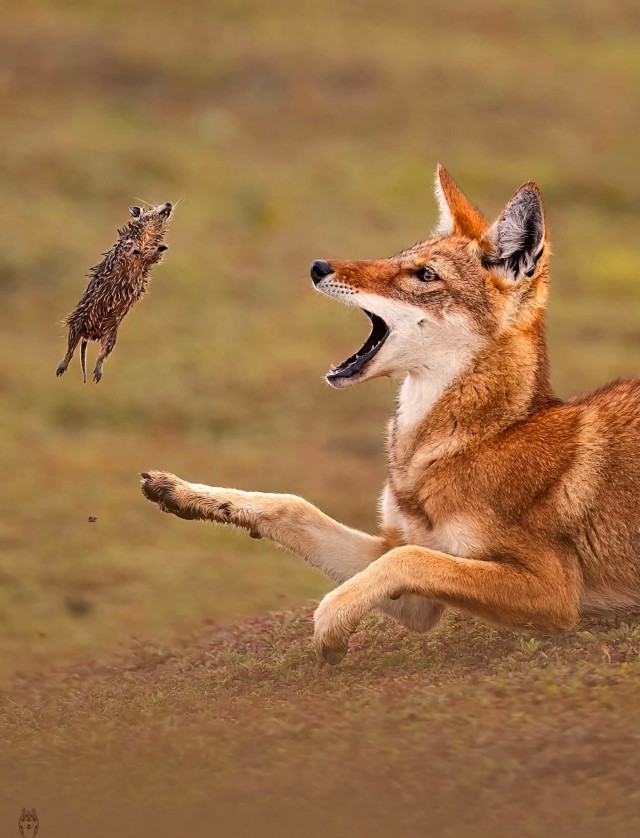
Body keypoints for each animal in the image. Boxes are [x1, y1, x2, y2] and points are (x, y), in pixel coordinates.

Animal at [141, 165, 640, 663]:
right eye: (397, 257)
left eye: (424, 275)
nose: (318, 266)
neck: (466, 441)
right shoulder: (415, 592)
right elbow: (294, 506)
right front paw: (181, 492)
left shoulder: (553, 593)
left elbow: (404, 559)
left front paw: (330, 624)